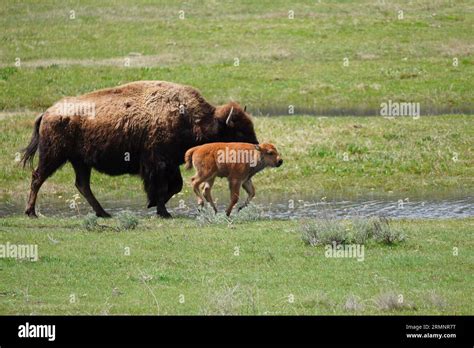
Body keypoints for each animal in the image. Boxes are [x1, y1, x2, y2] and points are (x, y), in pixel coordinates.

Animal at [21, 81, 260, 218]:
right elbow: (164, 187)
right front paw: (161, 210)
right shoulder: (157, 164)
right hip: (53, 157)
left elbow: (175, 186)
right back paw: (31, 212)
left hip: (80, 162)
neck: (192, 118)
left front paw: (154, 205)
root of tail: (48, 112)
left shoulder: (169, 164)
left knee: (82, 185)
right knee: (38, 178)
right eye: (239, 133)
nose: (255, 147)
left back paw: (103, 213)